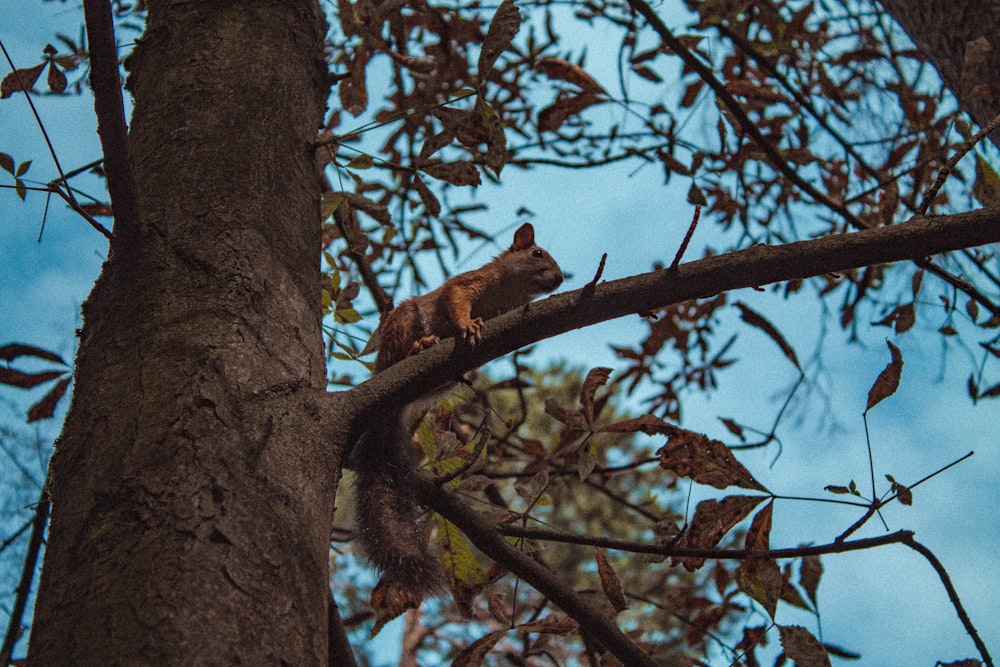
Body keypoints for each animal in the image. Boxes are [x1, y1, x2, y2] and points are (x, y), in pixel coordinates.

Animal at [352, 223, 564, 604]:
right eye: (537, 253)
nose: (560, 278)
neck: (511, 291)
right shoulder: (469, 283)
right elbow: (455, 299)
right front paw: (467, 324)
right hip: (404, 323)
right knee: (401, 349)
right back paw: (418, 347)